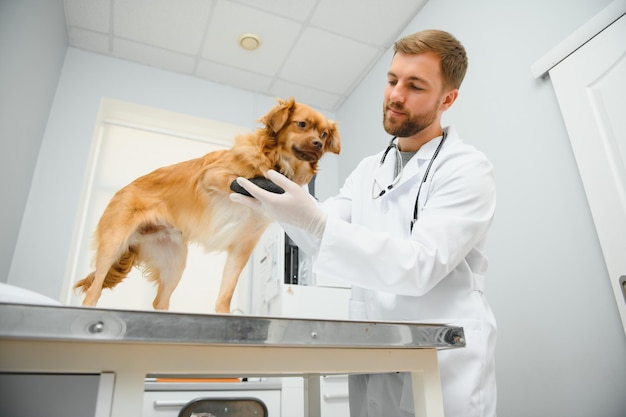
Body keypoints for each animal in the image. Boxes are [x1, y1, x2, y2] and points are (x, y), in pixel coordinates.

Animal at [74, 97, 342, 312]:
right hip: (113, 245)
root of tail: (122, 190)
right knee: (94, 290)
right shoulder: (212, 175)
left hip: (175, 262)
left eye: (324, 134)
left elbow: (225, 294)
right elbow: (241, 181)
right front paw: (264, 183)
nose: (318, 144)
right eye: (302, 124)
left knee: (160, 301)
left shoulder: (242, 247)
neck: (278, 162)